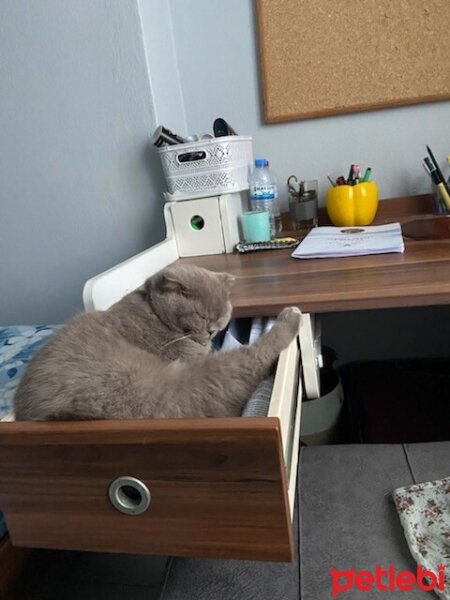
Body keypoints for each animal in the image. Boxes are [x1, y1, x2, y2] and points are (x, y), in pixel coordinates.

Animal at [14, 264, 300, 420]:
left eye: (221, 315)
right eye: (201, 315)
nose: (212, 331)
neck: (155, 315)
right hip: (177, 388)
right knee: (252, 358)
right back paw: (291, 316)